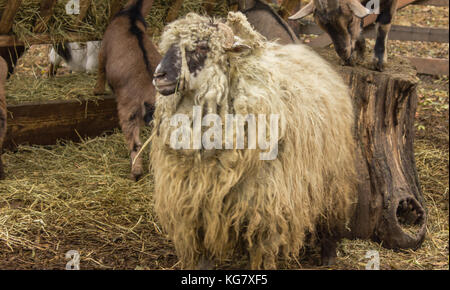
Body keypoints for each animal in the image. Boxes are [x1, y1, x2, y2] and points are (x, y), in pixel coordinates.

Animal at [93, 0, 162, 181]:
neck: (131, 14)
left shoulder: (103, 50)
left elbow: (100, 69)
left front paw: (97, 91)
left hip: (129, 111)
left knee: (135, 144)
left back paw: (135, 173)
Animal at [151, 11, 358, 270]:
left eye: (201, 47)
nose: (159, 76)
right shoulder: (197, 203)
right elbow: (204, 252)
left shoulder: (267, 204)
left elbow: (262, 251)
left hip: (332, 175)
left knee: (333, 214)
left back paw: (328, 256)